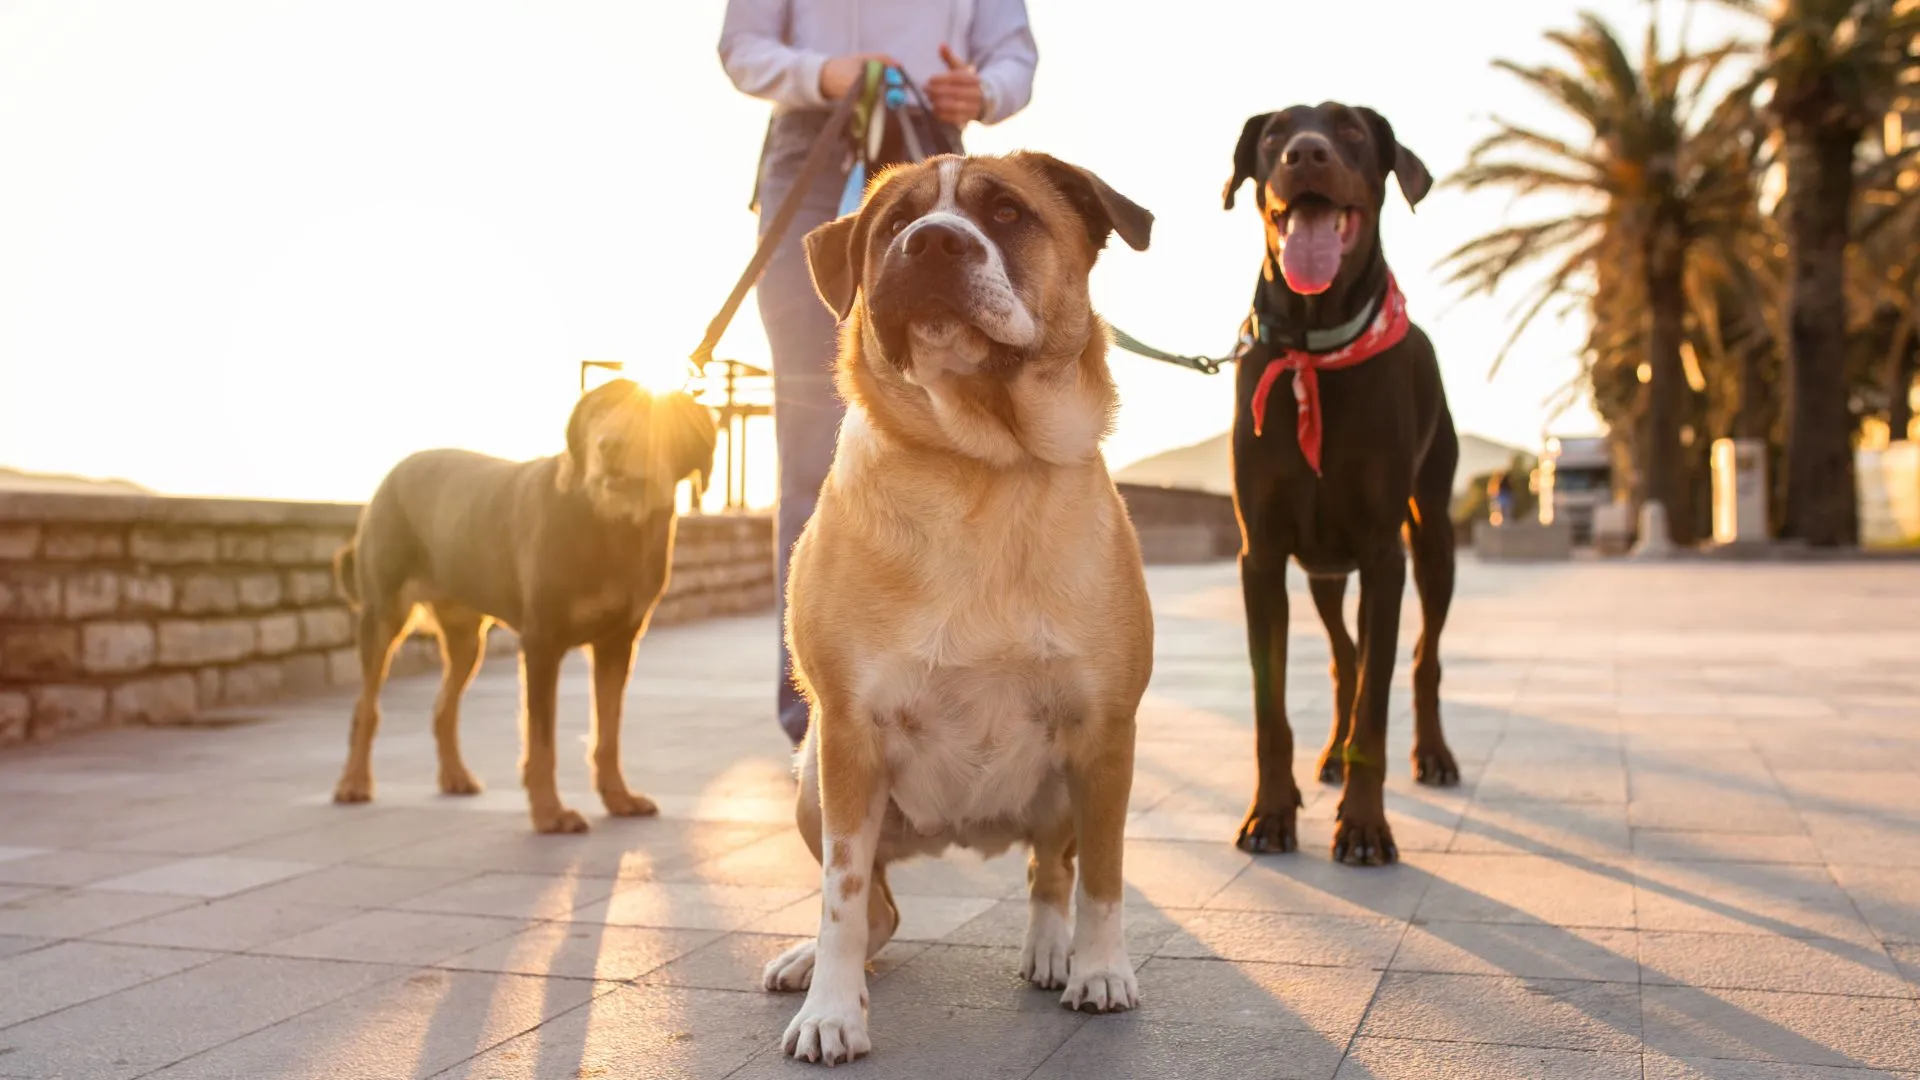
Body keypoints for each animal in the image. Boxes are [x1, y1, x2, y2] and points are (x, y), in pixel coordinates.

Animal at [334, 378, 718, 834]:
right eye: (597, 412)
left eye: (649, 415)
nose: (609, 445)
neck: (610, 525)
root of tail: (393, 474)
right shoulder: (541, 643)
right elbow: (542, 740)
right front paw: (550, 812)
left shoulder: (618, 643)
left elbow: (608, 733)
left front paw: (618, 798)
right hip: (383, 616)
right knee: (366, 707)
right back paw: (354, 782)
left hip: (467, 639)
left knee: (444, 707)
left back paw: (455, 776)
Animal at [764, 151, 1152, 1060]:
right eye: (894, 224)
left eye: (1007, 212)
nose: (933, 243)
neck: (981, 465)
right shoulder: (848, 737)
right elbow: (840, 896)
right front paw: (832, 1012)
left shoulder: (1105, 734)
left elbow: (1104, 875)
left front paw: (1100, 969)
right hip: (812, 786)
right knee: (879, 910)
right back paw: (812, 962)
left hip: (1063, 785)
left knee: (1049, 869)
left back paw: (1051, 949)